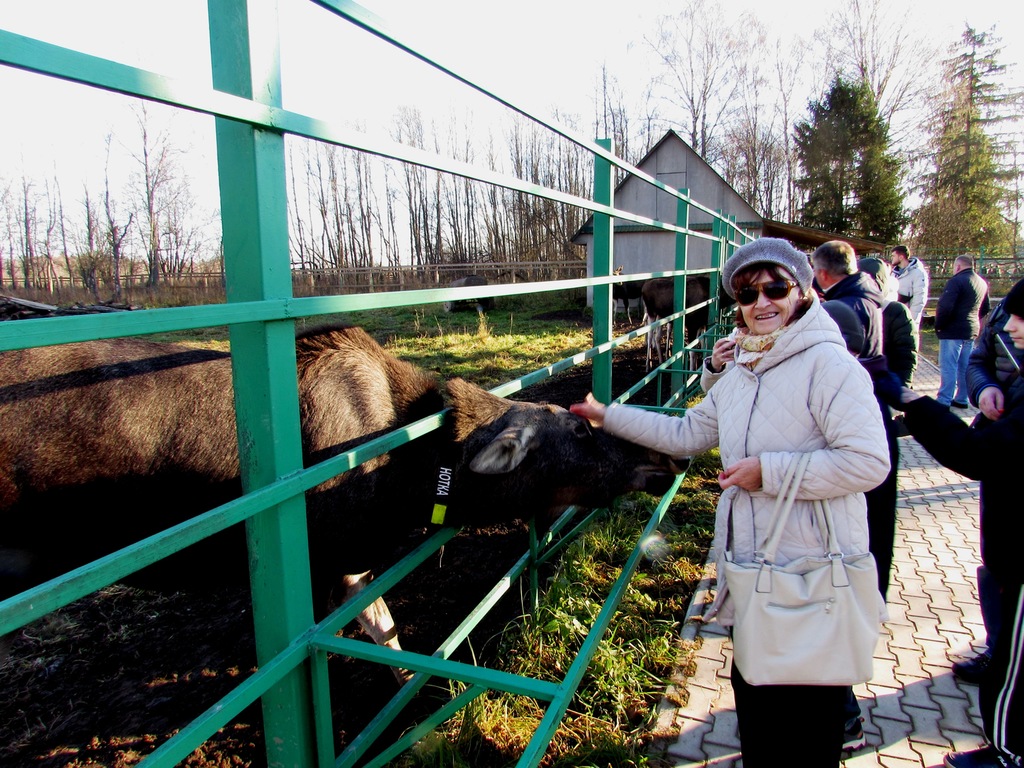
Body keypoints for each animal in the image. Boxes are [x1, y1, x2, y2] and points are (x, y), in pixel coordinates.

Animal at [0, 325, 682, 677]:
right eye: (579, 432)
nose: (663, 457)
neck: (412, 481)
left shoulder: (348, 562)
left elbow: (387, 637)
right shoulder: (332, 560)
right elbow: (380, 637)